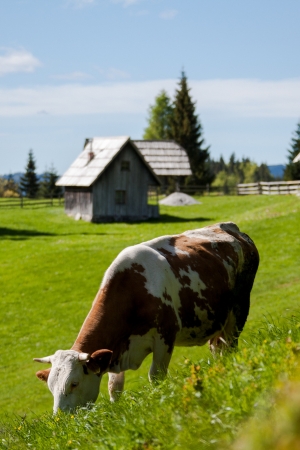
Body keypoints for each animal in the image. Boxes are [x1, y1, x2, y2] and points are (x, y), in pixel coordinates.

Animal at [34, 221, 260, 412]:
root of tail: (229, 227)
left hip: (239, 308)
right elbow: (114, 388)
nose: (61, 418)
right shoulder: (116, 350)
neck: (131, 288)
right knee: (218, 347)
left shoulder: (165, 336)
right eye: (51, 387)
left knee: (230, 345)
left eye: (74, 383)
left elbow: (156, 376)